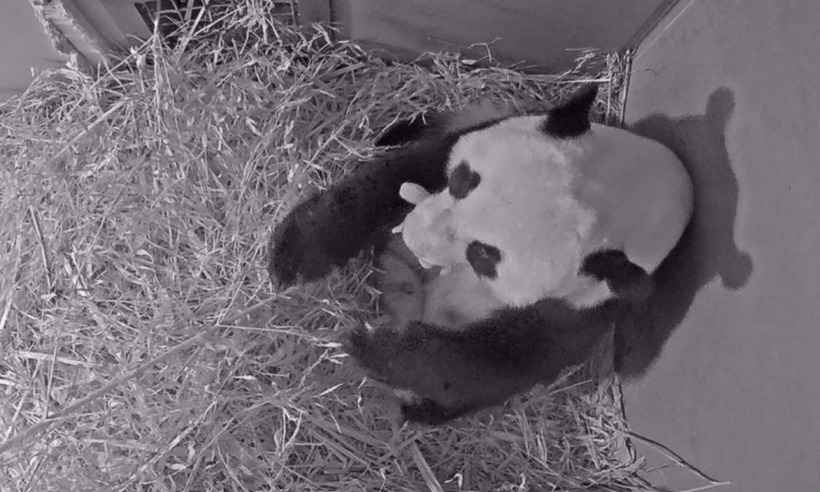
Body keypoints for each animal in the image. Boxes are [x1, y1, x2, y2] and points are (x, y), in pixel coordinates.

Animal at [270, 84, 692, 422]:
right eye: (462, 181)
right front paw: (296, 252)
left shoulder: (586, 306)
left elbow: (498, 361)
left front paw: (374, 343)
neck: (633, 188)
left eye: (483, 255)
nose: (412, 234)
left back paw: (417, 408)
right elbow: (396, 177)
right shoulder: (476, 138)